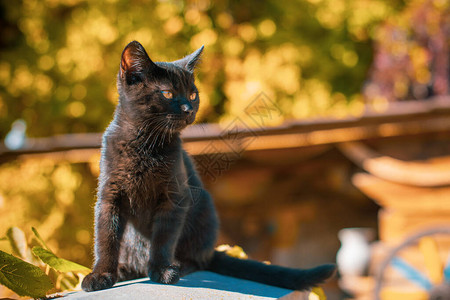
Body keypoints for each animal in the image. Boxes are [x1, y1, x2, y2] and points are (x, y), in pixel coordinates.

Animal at [81, 41, 336, 292]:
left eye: (193, 94)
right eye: (167, 93)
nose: (188, 109)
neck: (145, 144)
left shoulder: (176, 196)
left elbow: (163, 238)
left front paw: (162, 270)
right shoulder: (109, 196)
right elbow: (106, 238)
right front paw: (101, 275)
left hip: (204, 207)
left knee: (198, 260)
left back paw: (179, 266)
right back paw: (126, 271)